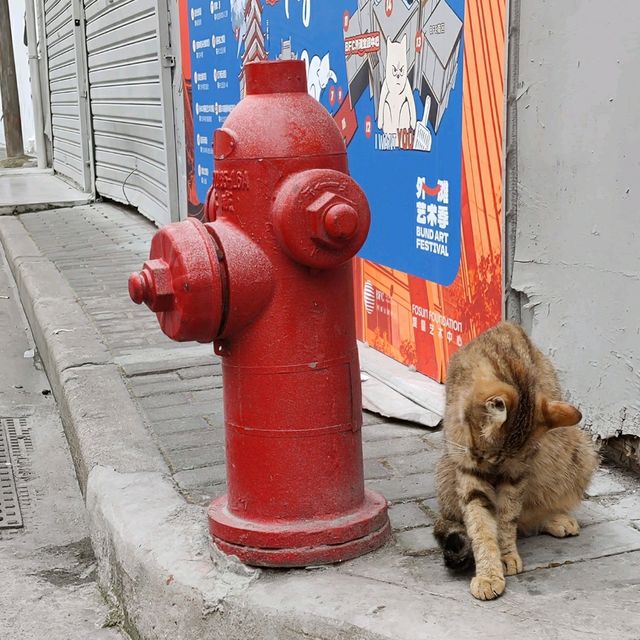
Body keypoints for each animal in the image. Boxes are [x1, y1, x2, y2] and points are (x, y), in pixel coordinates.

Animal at [432, 324, 596, 600]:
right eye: (480, 455)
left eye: (503, 461)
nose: (492, 476)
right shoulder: (468, 469)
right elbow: (480, 526)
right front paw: (489, 573)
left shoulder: (516, 472)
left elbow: (506, 519)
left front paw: (504, 556)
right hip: (446, 472)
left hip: (580, 451)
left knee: (526, 520)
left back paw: (554, 519)